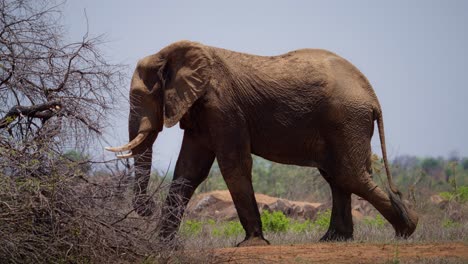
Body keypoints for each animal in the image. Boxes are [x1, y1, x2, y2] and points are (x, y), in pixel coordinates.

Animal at [108, 40, 418, 246]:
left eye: (140, 96)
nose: (147, 207)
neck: (168, 54)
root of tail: (372, 97)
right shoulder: (201, 111)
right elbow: (189, 171)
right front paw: (164, 246)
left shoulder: (223, 106)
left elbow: (233, 165)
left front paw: (252, 244)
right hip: (343, 123)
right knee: (337, 176)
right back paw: (333, 240)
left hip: (346, 120)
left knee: (349, 174)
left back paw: (407, 230)